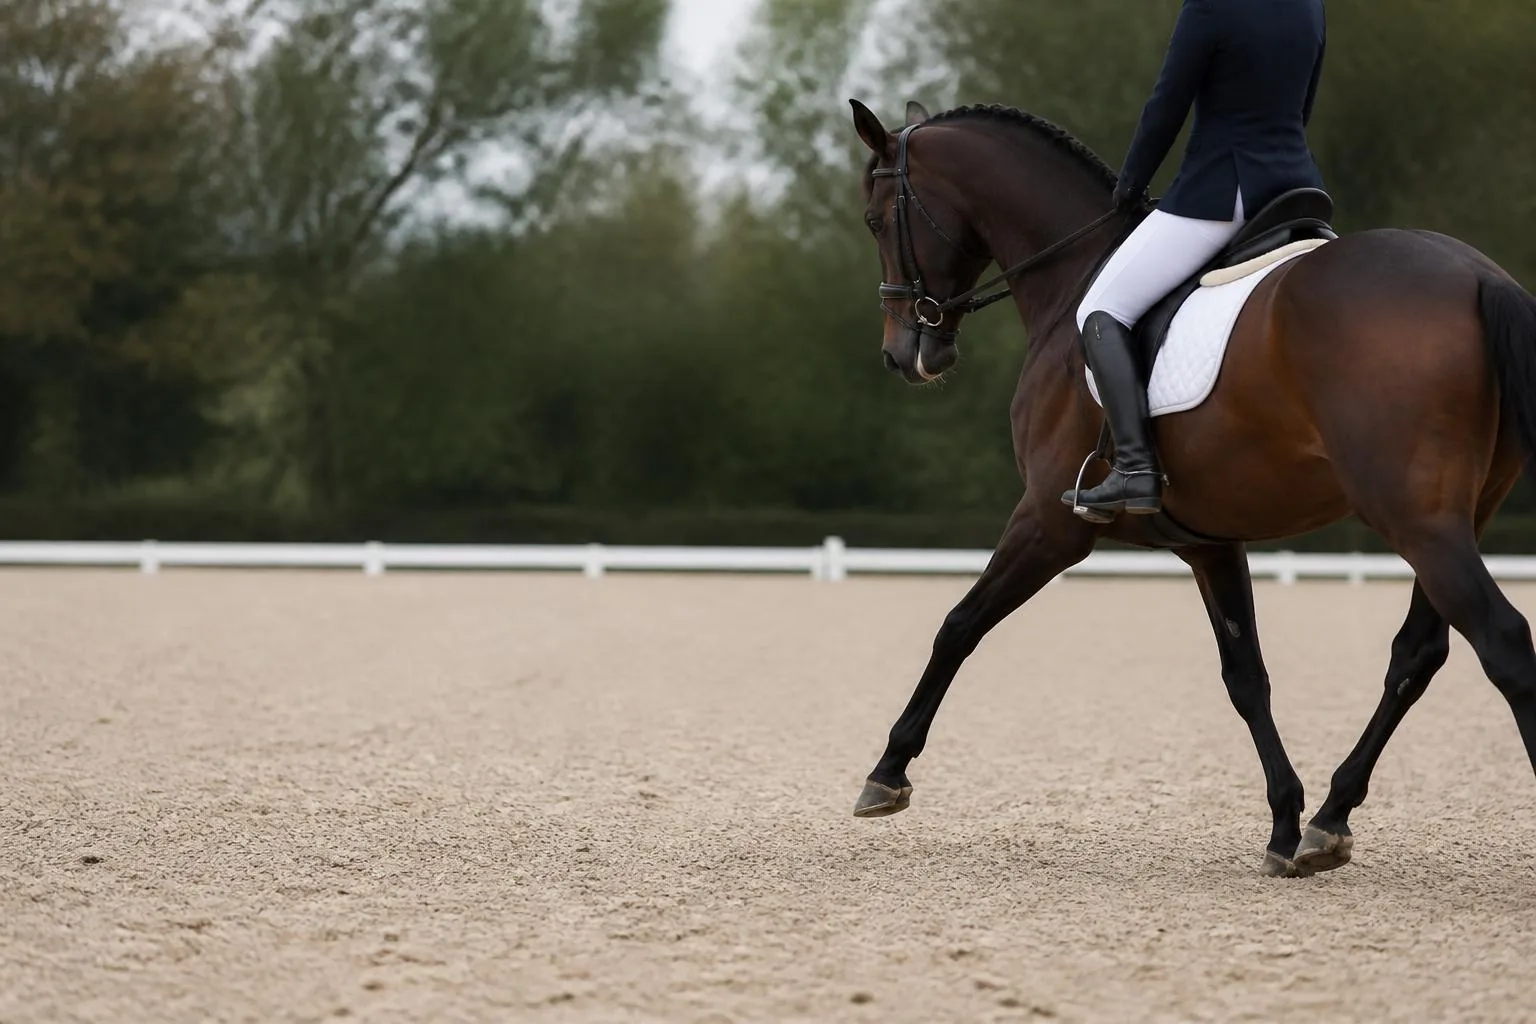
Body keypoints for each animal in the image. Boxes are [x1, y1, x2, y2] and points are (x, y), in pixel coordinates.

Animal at [846, 98, 1536, 877]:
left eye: (875, 218)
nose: (904, 355)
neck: (1072, 277)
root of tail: (1480, 277)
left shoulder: (1051, 522)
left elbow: (959, 625)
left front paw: (888, 772)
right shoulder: (1210, 543)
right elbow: (1246, 675)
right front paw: (1283, 822)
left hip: (1417, 521)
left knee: (1503, 642)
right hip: (1452, 519)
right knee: (1417, 655)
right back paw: (1329, 819)